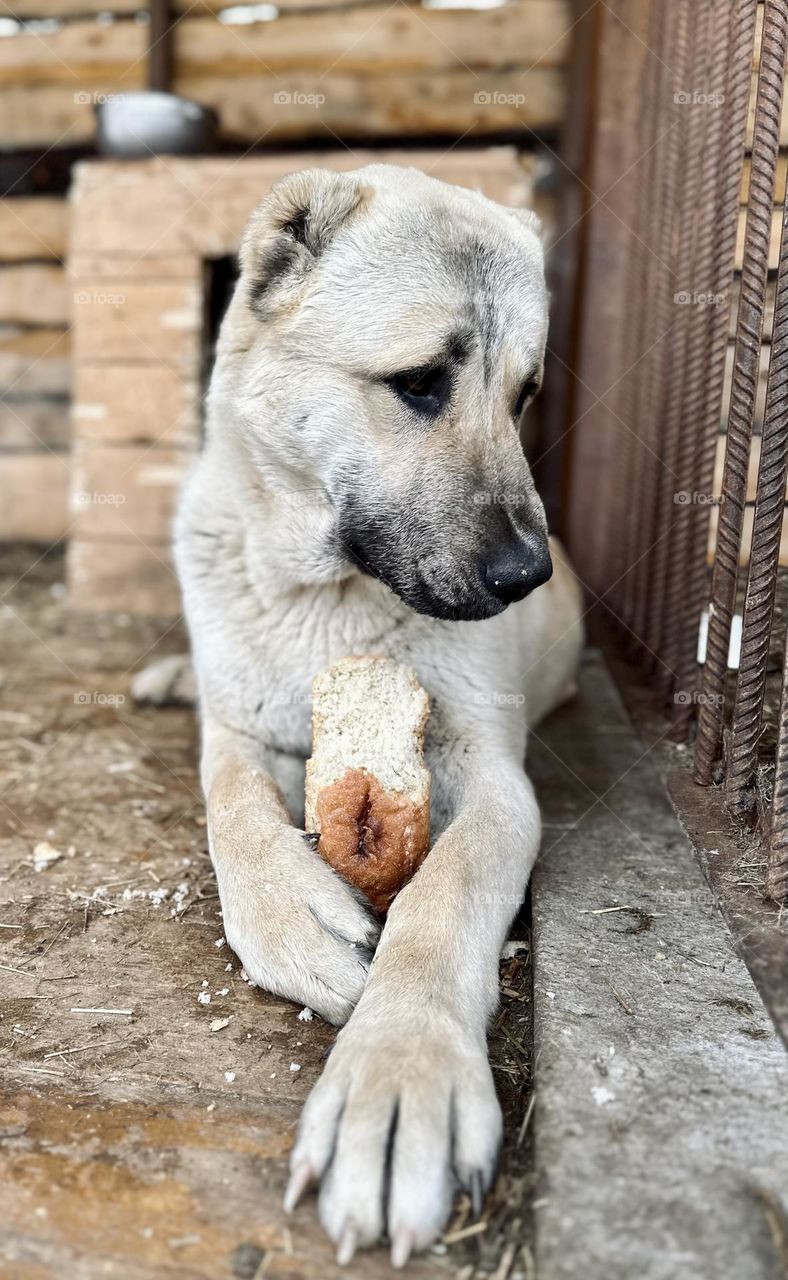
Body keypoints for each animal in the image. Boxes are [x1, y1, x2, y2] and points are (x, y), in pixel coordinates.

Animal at [133, 167, 578, 1269]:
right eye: (418, 382)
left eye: (523, 395)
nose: (526, 576)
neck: (323, 598)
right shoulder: (238, 737)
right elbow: (232, 805)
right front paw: (292, 913)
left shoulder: (498, 786)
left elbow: (440, 899)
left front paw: (401, 1072)